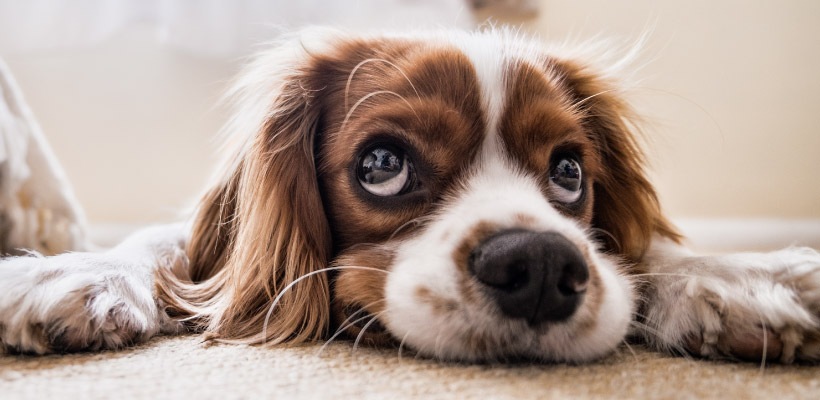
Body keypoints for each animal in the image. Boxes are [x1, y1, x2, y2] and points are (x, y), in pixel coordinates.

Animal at [1, 29, 820, 364]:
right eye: (383, 164)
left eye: (569, 172)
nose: (540, 266)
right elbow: (166, 246)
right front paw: (72, 272)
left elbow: (649, 251)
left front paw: (741, 278)